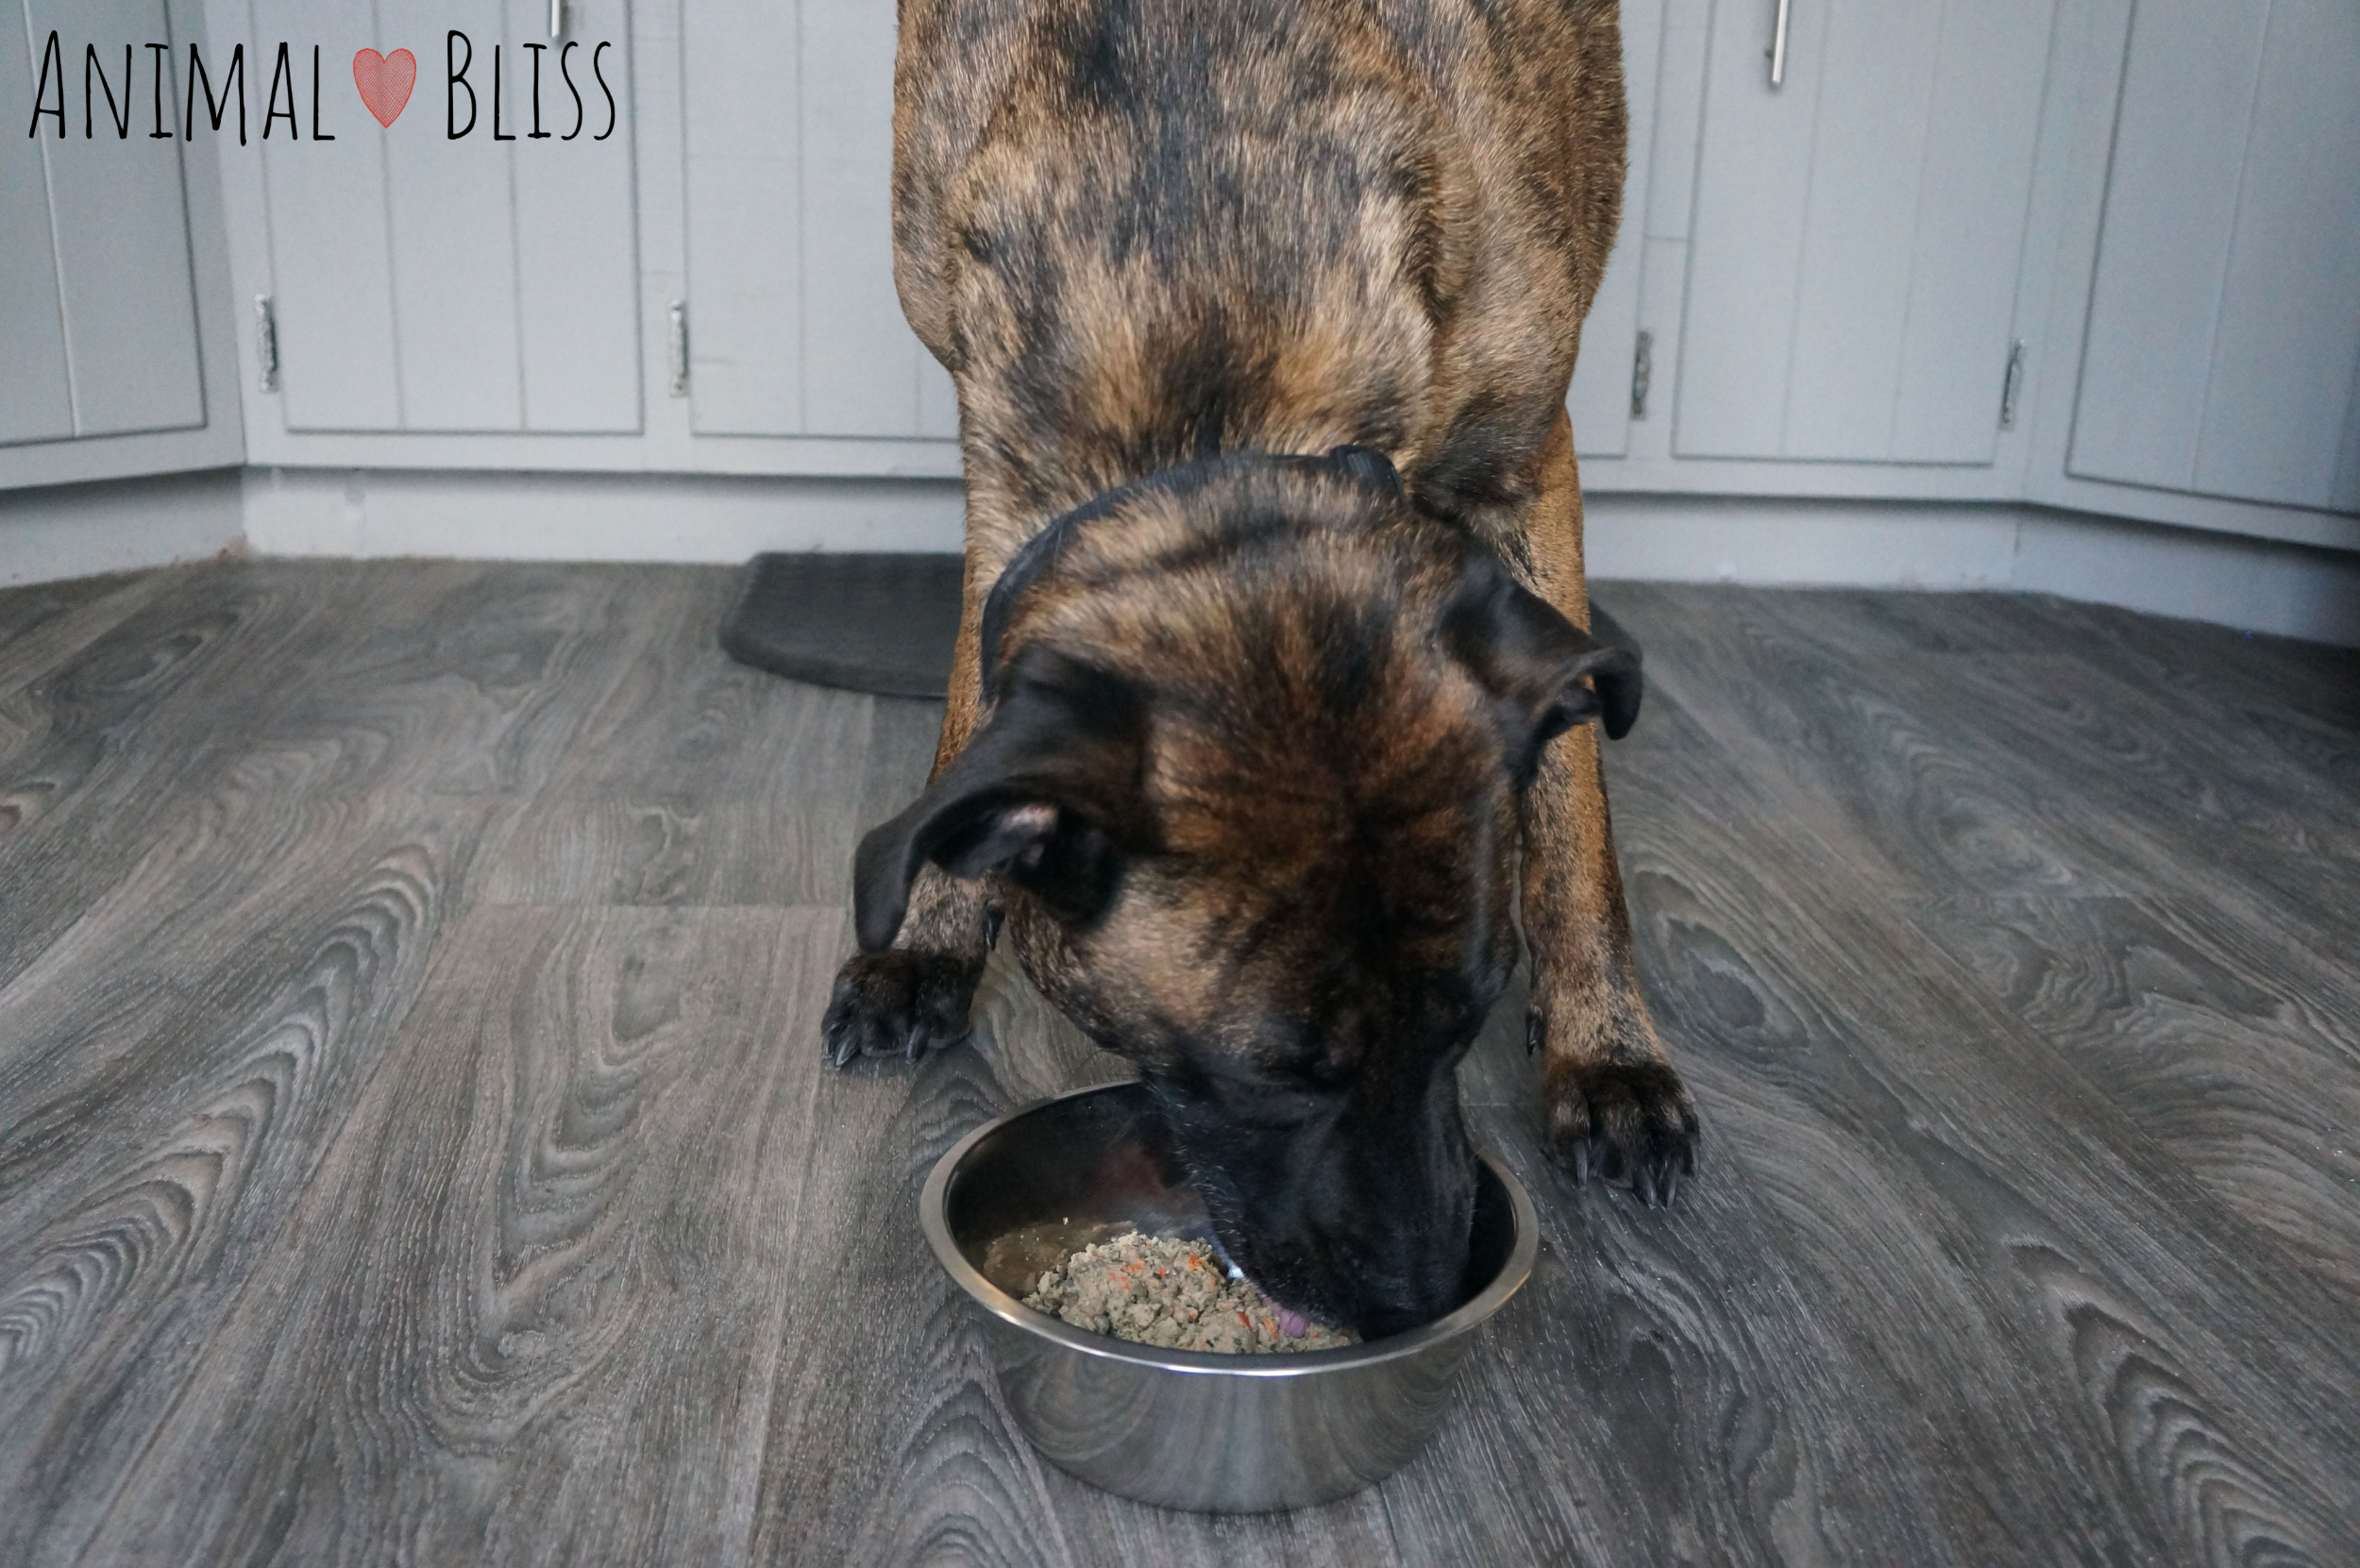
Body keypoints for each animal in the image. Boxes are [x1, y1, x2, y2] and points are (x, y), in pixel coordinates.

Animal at [821, 0, 1690, 1331]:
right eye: (1271, 1076)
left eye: (1469, 1015)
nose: (1422, 1291)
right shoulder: (991, 439)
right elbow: (974, 692)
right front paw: (927, 934)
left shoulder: (1528, 459)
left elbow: (1573, 807)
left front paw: (1607, 1047)